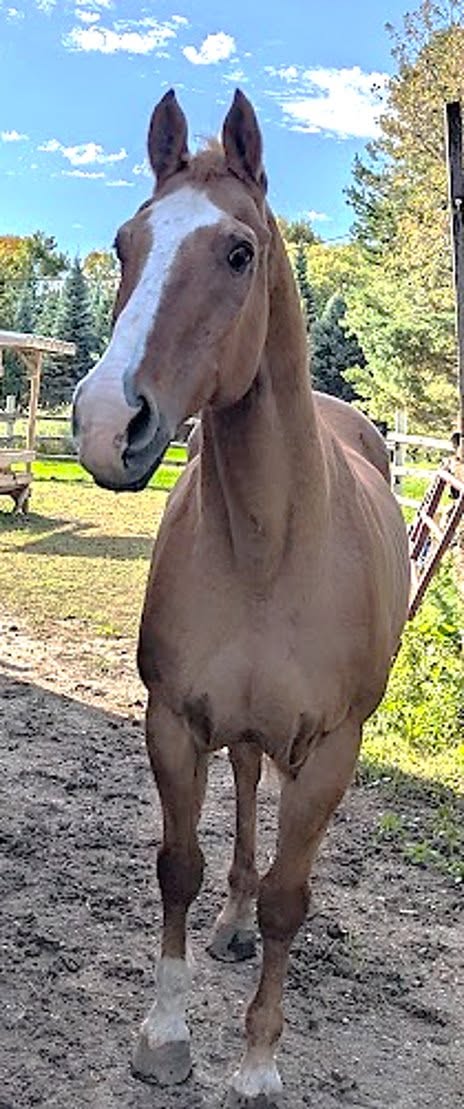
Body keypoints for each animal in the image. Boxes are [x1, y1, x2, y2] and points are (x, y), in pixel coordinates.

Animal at [72, 89, 410, 1108]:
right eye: (125, 243)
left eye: (237, 252)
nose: (108, 423)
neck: (270, 546)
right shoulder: (174, 721)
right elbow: (177, 867)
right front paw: (166, 1033)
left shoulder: (333, 747)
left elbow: (293, 899)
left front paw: (257, 1064)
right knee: (251, 794)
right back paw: (232, 919)